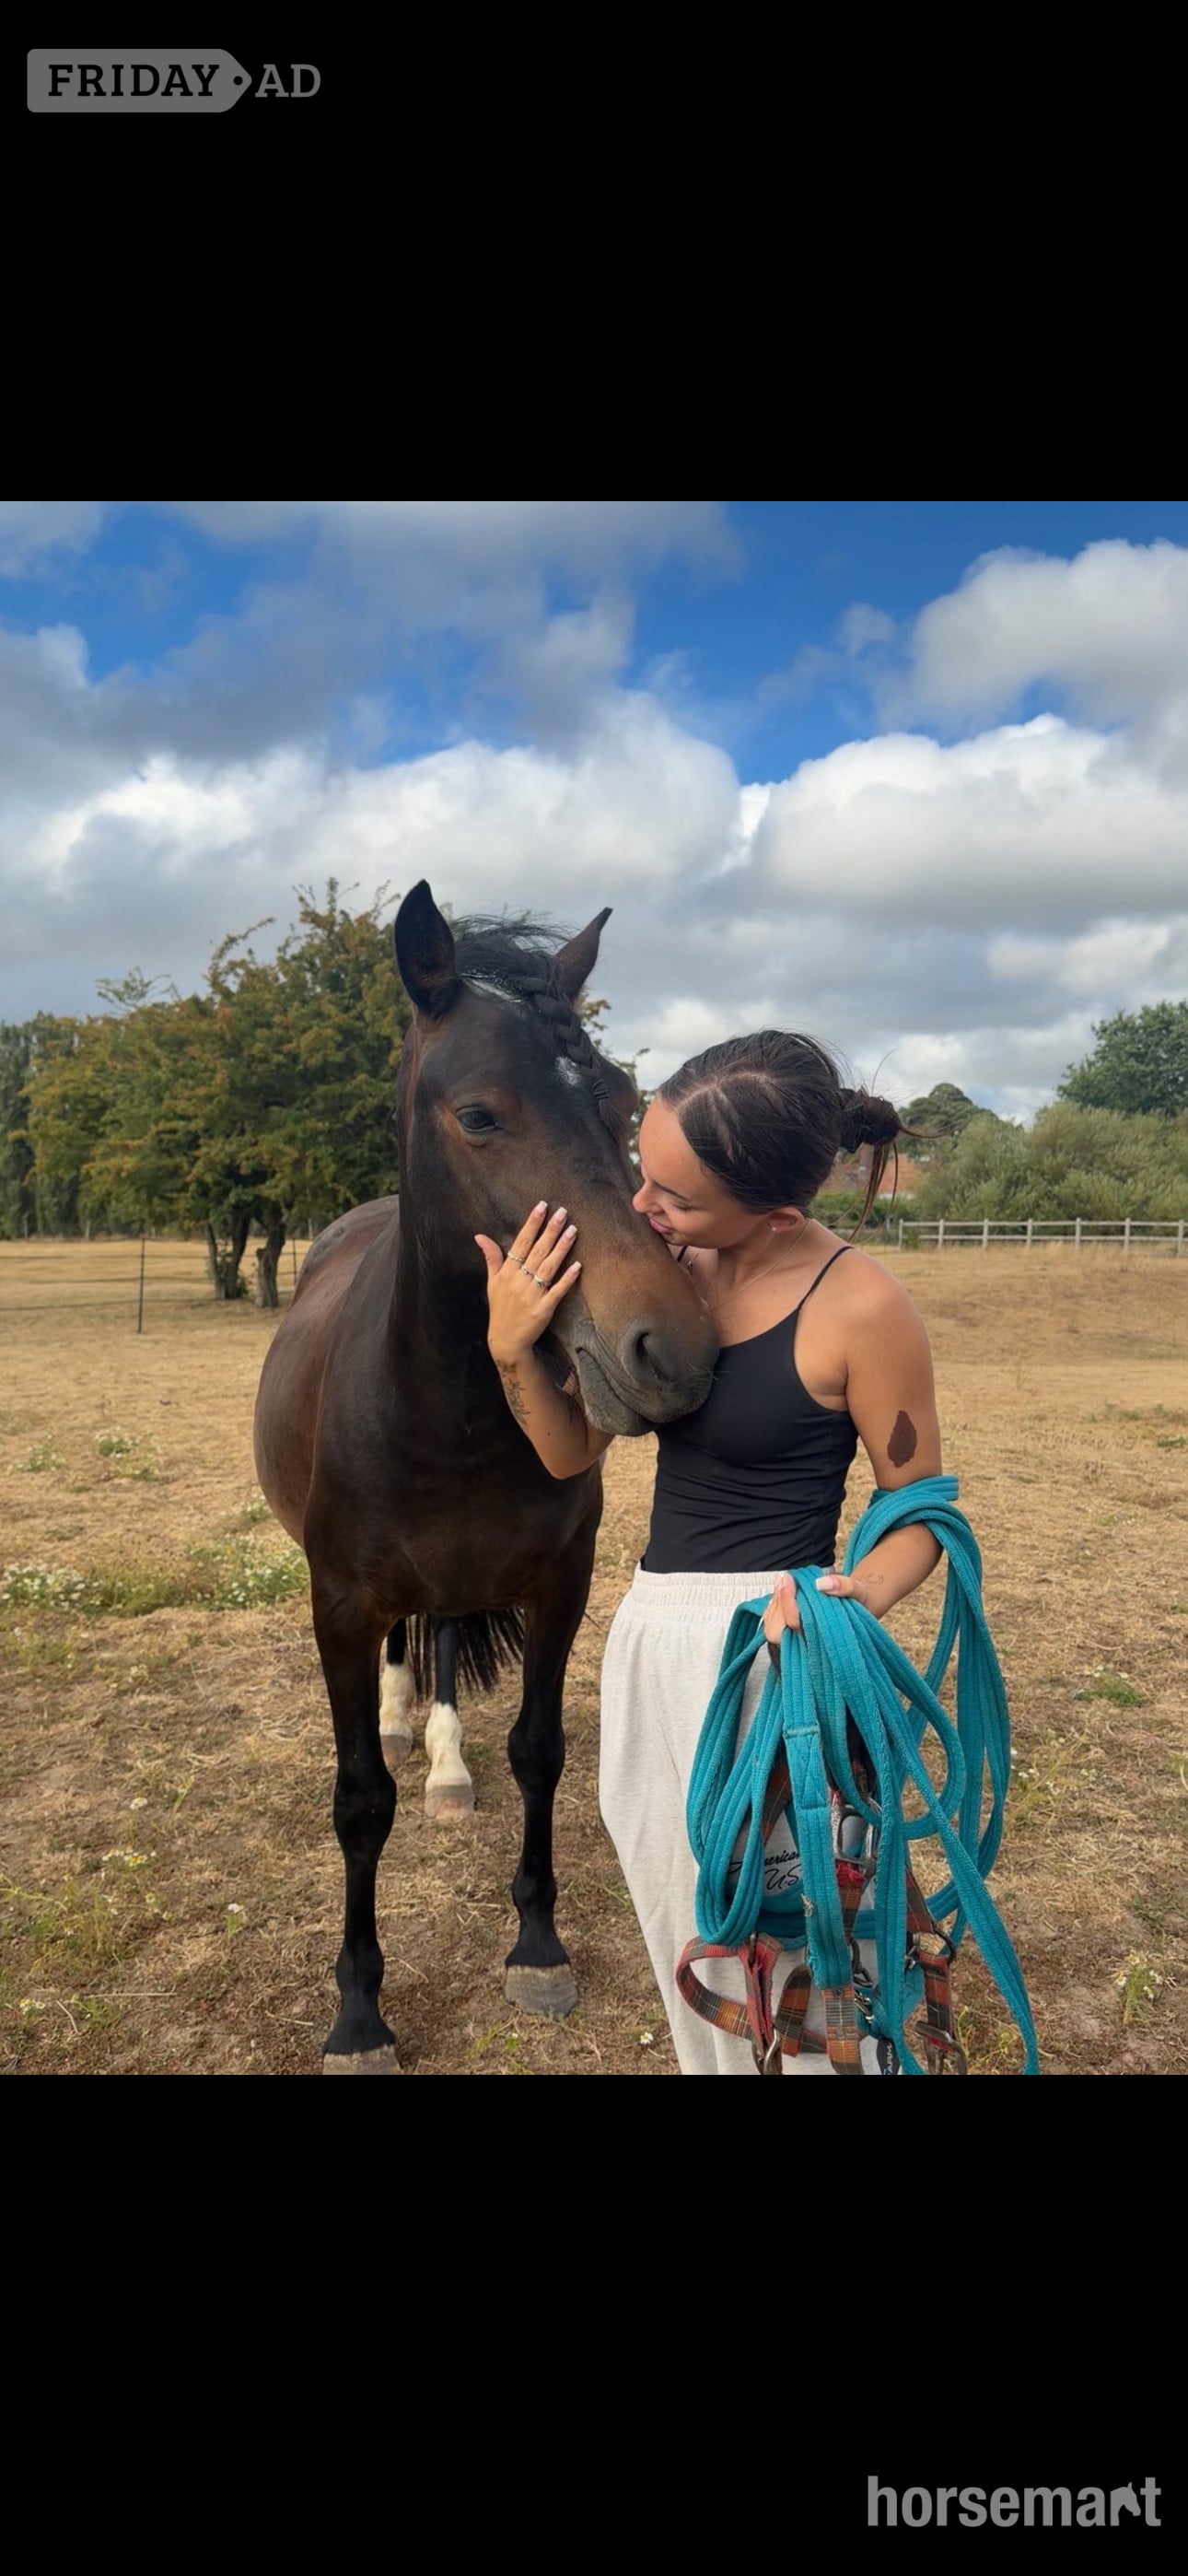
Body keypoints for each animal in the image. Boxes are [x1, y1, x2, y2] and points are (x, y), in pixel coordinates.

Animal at [252, 879, 718, 2073]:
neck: (444, 1408)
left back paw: (447, 1760)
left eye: (620, 1102)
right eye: (479, 1115)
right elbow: (359, 1802)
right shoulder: (339, 1606)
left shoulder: (559, 1588)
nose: (673, 1350)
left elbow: (539, 1753)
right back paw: (407, 1722)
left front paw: (538, 1947)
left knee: (453, 1646)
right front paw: (358, 2014)